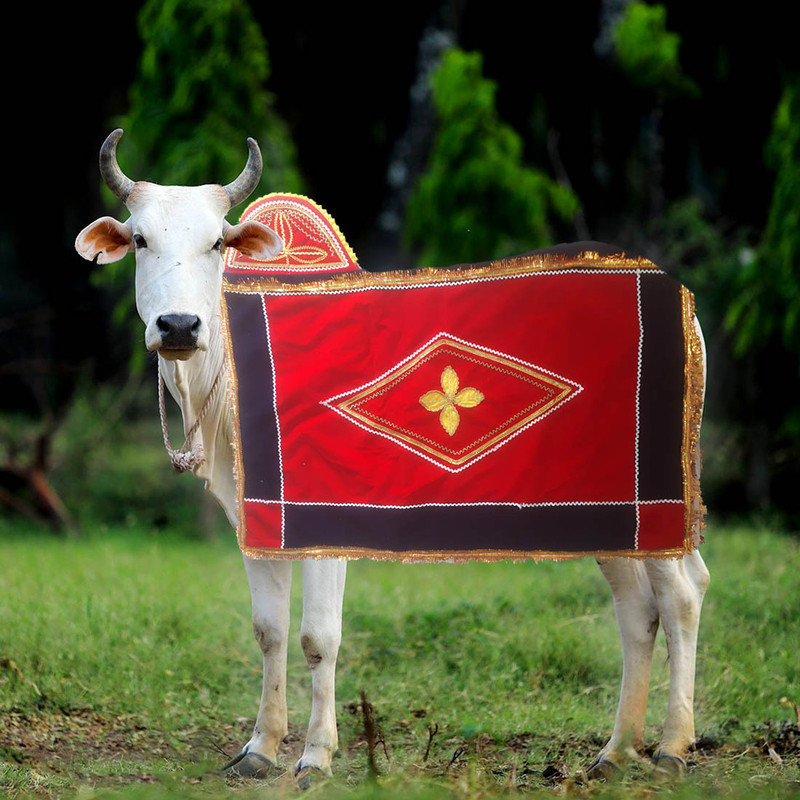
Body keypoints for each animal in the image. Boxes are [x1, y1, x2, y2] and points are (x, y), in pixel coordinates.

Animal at [75, 129, 710, 784]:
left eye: (217, 242)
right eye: (140, 238)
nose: (178, 325)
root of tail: (679, 295)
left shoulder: (322, 517)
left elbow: (317, 637)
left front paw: (316, 755)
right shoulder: (257, 520)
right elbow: (269, 631)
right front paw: (260, 748)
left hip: (657, 506)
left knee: (682, 596)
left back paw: (671, 745)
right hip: (603, 513)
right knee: (637, 609)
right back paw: (616, 751)